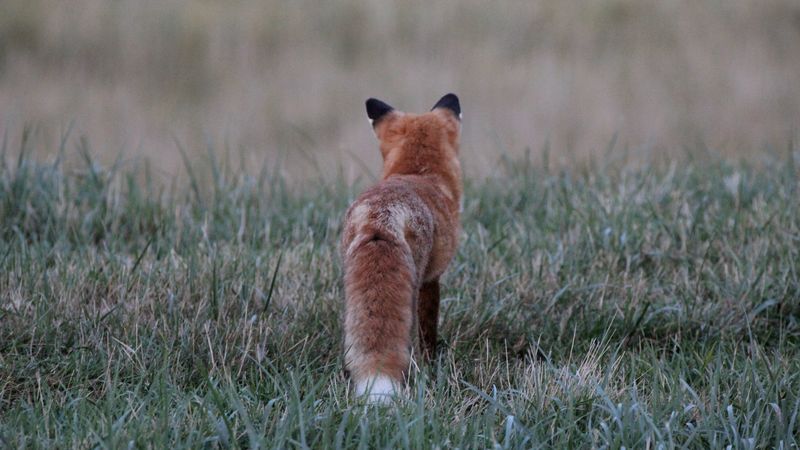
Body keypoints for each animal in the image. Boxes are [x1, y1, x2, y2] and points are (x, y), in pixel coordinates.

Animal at [341, 93, 462, 403]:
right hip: (413, 281)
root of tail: (379, 220)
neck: (418, 173)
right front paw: (432, 362)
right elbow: (428, 332)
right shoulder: (432, 278)